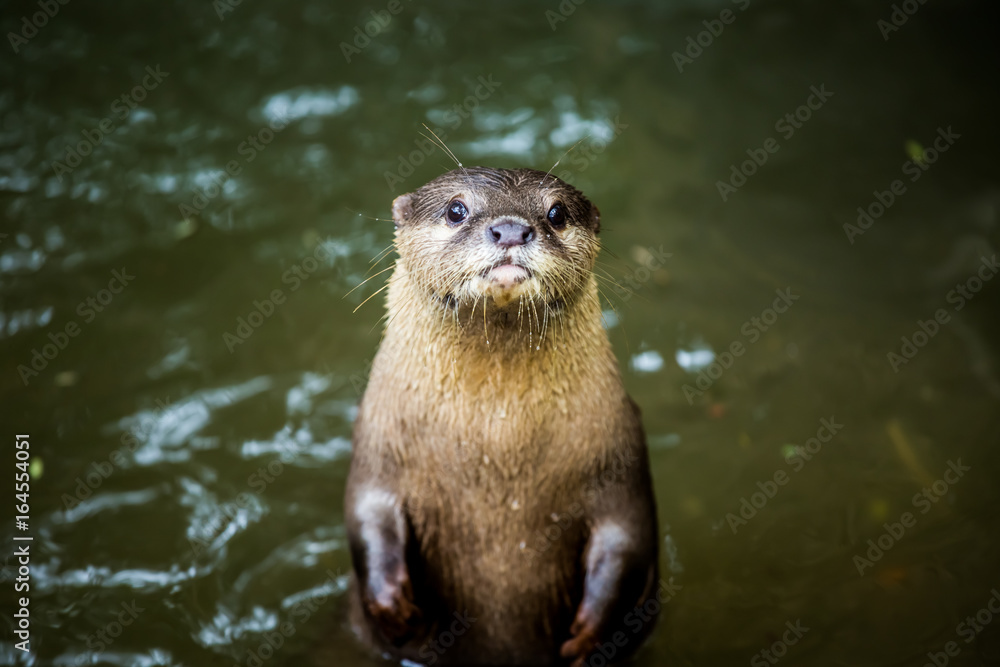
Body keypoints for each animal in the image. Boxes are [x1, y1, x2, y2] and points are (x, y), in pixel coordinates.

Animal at [345, 167, 659, 666]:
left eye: (556, 213)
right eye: (456, 209)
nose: (511, 229)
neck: (495, 439)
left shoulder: (620, 452)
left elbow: (627, 536)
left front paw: (588, 634)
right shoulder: (378, 439)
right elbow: (367, 512)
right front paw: (393, 606)